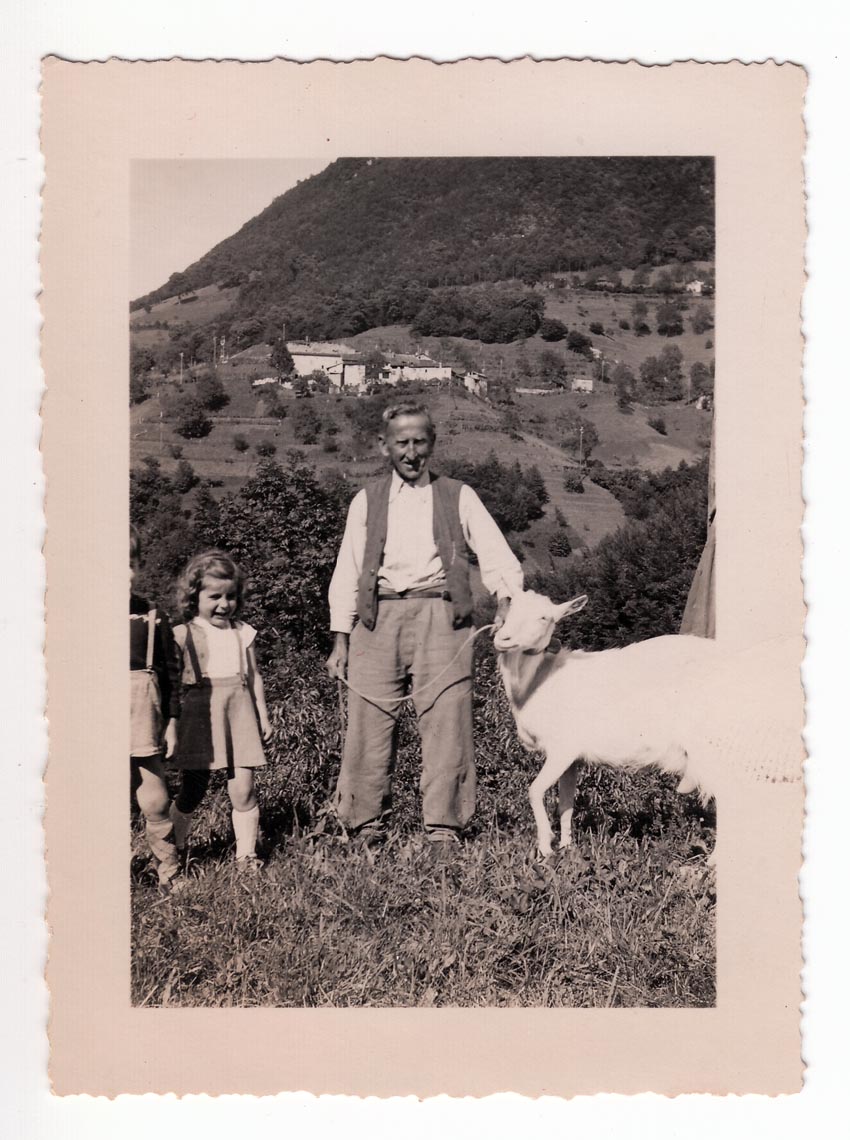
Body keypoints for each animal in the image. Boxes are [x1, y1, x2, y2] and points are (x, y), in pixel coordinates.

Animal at [494, 589, 801, 863]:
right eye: (510, 611)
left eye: (543, 617)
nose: (503, 638)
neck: (541, 680)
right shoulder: (572, 759)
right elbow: (565, 804)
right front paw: (567, 849)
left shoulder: (563, 748)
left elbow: (534, 791)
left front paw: (545, 848)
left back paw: (717, 861)